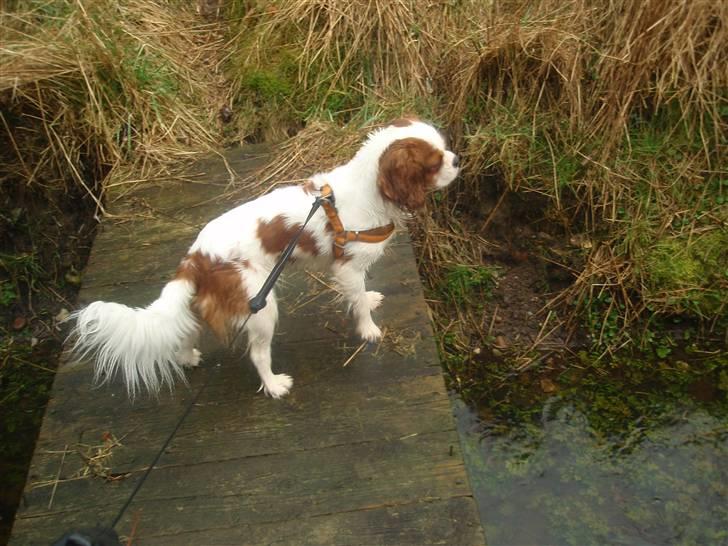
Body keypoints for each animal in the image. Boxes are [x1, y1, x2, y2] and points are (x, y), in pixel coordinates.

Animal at [74, 119, 460, 398]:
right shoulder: (347, 267)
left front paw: (369, 299)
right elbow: (358, 304)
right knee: (258, 354)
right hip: (259, 304)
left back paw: (187, 358)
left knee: (187, 331)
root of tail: (196, 257)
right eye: (435, 162)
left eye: (445, 148)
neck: (370, 191)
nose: (457, 159)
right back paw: (274, 386)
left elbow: (361, 296)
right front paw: (368, 330)